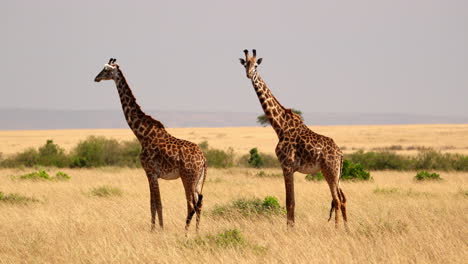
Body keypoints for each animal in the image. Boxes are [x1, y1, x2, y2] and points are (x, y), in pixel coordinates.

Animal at [93, 57, 207, 231]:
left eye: (106, 69)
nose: (96, 78)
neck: (142, 134)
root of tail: (204, 159)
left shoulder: (150, 172)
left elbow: (156, 203)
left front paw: (157, 229)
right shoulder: (151, 173)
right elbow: (153, 203)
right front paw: (155, 228)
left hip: (188, 177)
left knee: (191, 204)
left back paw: (186, 232)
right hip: (199, 180)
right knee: (199, 203)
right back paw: (196, 232)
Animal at [239, 50, 346, 228]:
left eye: (256, 65)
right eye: (245, 64)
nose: (249, 74)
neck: (279, 126)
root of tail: (340, 154)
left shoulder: (287, 166)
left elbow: (290, 202)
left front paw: (290, 229)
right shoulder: (290, 168)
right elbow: (292, 201)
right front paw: (291, 227)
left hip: (329, 170)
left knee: (336, 200)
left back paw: (337, 229)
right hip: (337, 173)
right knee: (343, 199)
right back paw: (346, 229)